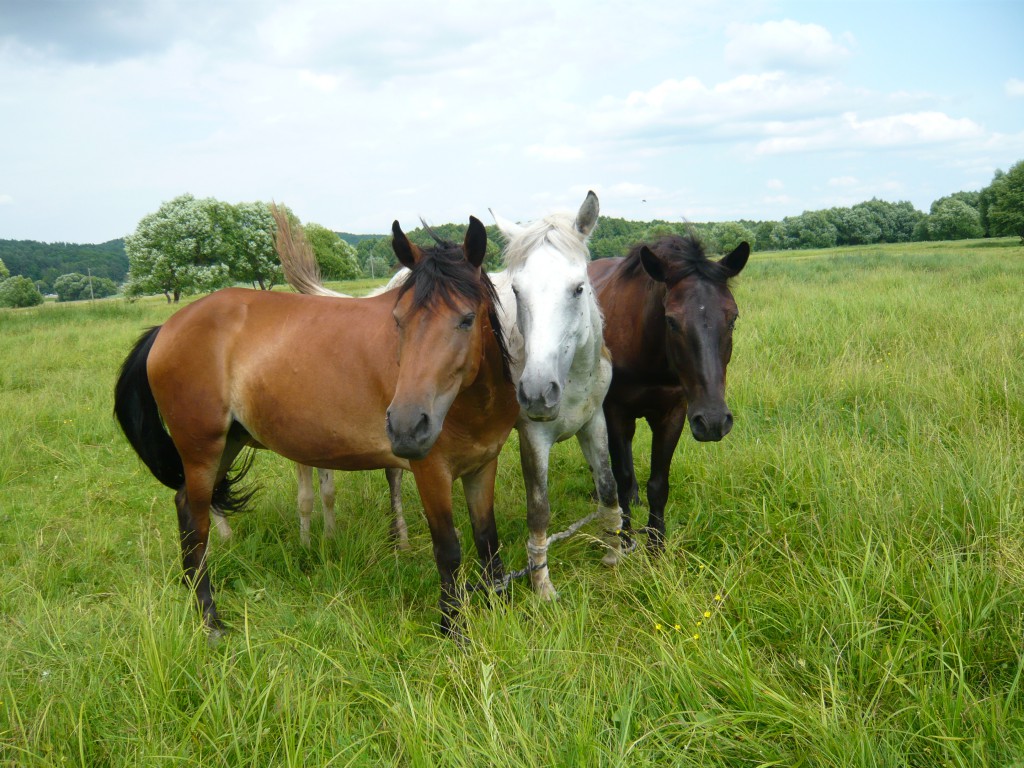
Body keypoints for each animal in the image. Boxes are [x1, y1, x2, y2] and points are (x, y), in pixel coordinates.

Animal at [115, 211, 516, 638]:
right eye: (398, 321)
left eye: (466, 319)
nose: (407, 426)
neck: (470, 403)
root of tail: (166, 329)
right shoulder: (432, 473)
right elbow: (449, 550)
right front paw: (453, 630)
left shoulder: (482, 466)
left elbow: (487, 538)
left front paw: (502, 608)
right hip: (201, 450)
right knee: (197, 524)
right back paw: (210, 620)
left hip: (227, 445)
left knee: (185, 507)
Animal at [589, 234, 749, 552]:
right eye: (672, 321)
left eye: (733, 318)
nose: (714, 421)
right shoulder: (615, 411)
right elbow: (621, 476)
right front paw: (625, 538)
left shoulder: (673, 414)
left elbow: (658, 484)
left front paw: (656, 545)